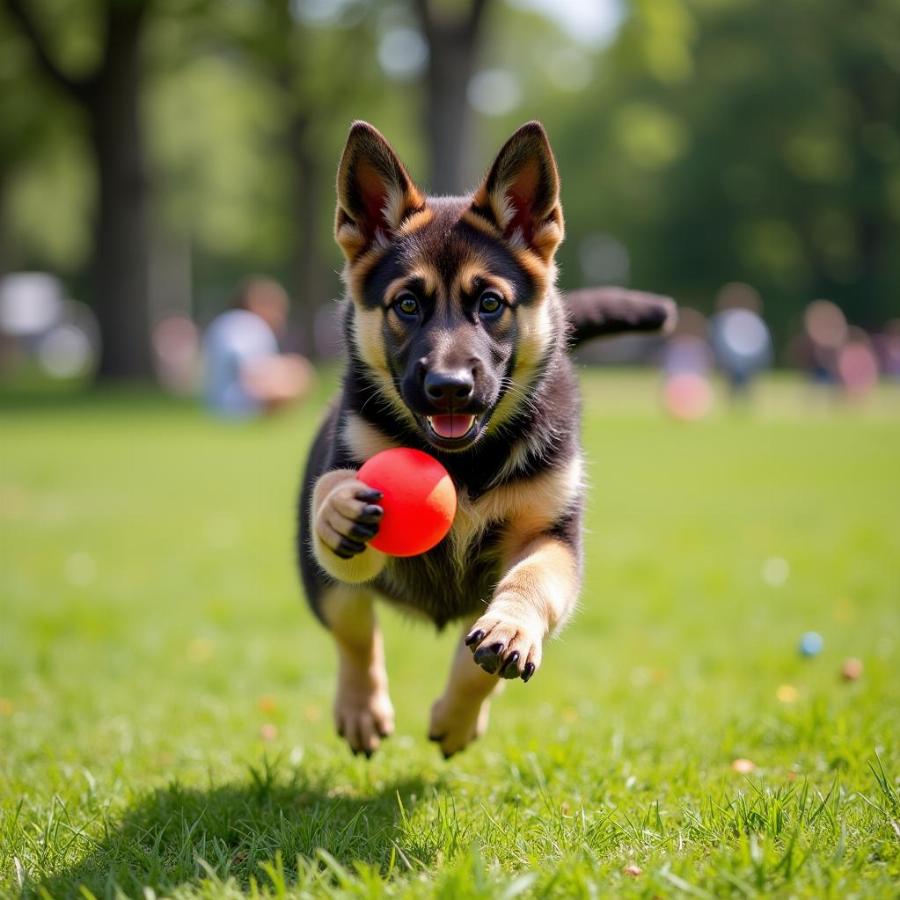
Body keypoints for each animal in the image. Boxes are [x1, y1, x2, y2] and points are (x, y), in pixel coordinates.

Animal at [298, 121, 672, 760]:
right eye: (406, 305)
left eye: (491, 303)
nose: (450, 388)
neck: (465, 463)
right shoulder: (346, 552)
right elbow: (352, 601)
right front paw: (339, 506)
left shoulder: (553, 539)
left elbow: (524, 592)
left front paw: (504, 637)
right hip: (317, 579)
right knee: (352, 626)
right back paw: (361, 708)